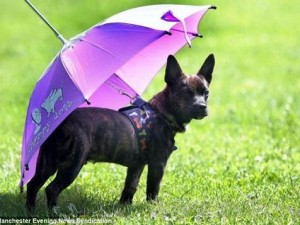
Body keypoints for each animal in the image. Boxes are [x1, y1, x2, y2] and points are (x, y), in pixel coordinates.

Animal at [25, 53, 213, 210]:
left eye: (206, 93)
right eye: (186, 93)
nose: (202, 106)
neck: (161, 113)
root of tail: (60, 124)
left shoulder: (136, 166)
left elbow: (130, 186)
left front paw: (124, 207)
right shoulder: (158, 164)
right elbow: (153, 188)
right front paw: (153, 207)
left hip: (47, 164)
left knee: (33, 185)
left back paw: (31, 211)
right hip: (72, 165)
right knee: (52, 189)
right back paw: (54, 213)